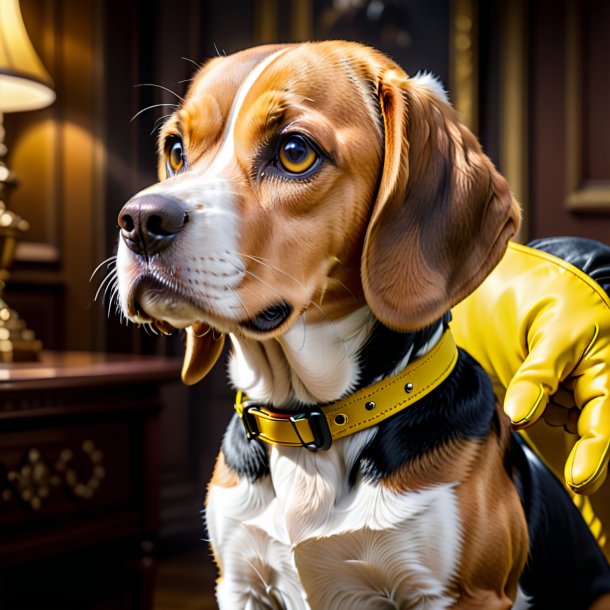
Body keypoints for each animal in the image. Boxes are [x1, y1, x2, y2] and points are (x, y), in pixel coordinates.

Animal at [114, 41, 608, 604]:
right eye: (176, 150)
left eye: (295, 151)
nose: (140, 221)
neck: (309, 421)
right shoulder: (240, 585)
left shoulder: (467, 595)